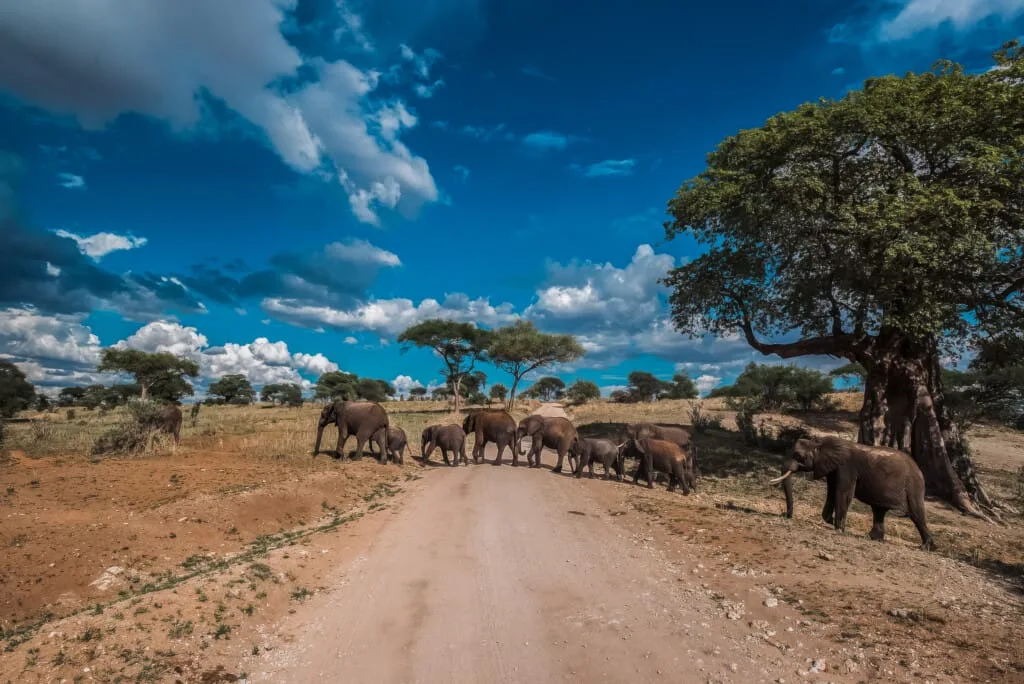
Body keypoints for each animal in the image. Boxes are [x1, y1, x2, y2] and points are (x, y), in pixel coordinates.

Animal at [770, 437, 934, 550]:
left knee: (916, 514)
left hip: (914, 486)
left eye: (798, 456)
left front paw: (839, 529)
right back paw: (873, 538)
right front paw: (833, 522)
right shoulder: (832, 469)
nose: (785, 514)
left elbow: (843, 494)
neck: (818, 443)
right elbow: (832, 493)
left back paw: (927, 548)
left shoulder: (846, 468)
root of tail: (919, 469)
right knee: (878, 511)